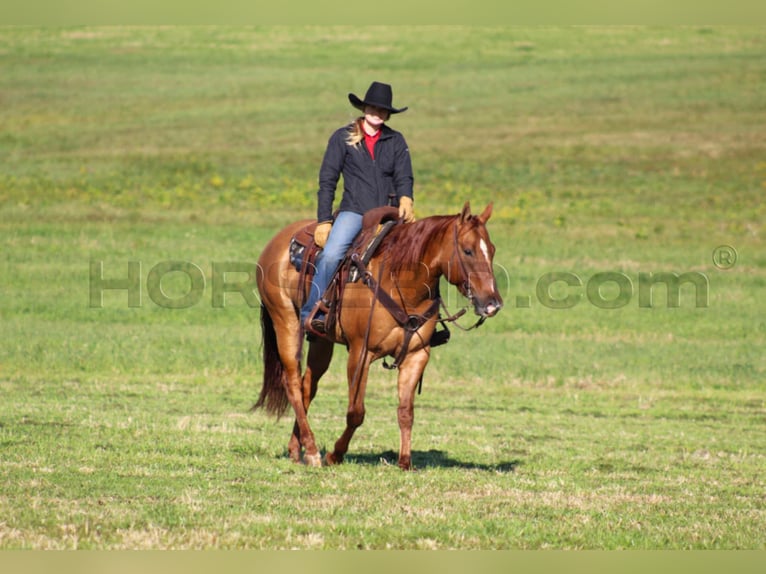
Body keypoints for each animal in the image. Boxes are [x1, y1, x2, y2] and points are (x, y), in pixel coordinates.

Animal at [254, 202, 504, 472]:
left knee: (307, 386)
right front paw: (335, 455)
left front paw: (405, 462)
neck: (400, 282)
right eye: (468, 251)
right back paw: (311, 451)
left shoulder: (416, 355)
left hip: (322, 340)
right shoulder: (360, 353)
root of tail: (277, 241)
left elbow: (406, 412)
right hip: (286, 322)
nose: (493, 304)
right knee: (292, 383)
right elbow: (356, 412)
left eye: (492, 250)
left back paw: (295, 449)